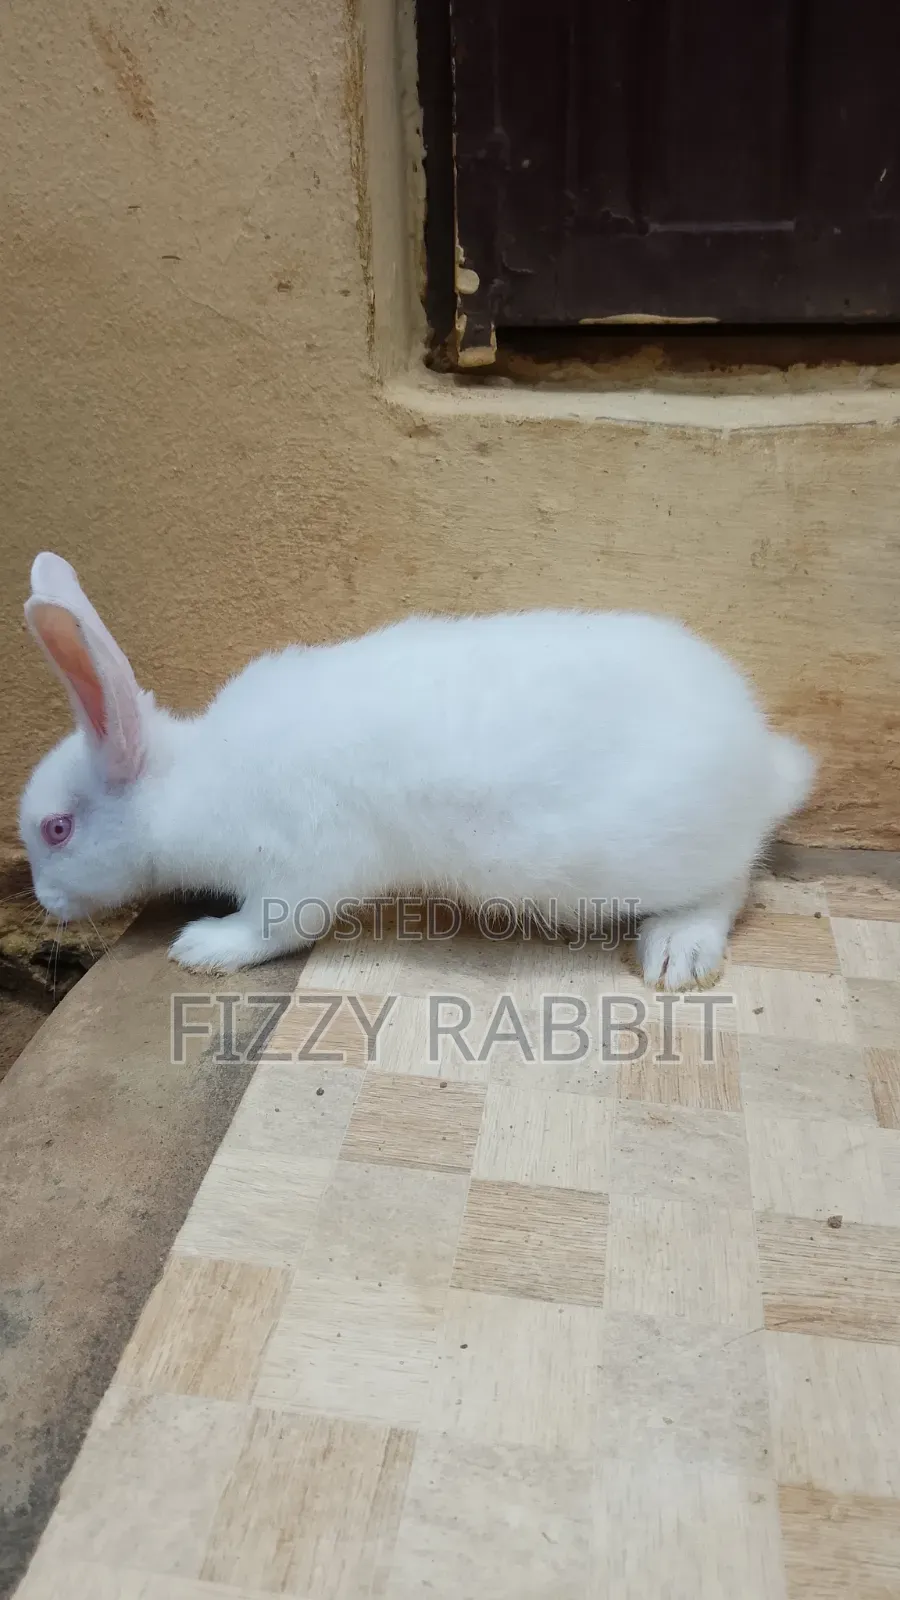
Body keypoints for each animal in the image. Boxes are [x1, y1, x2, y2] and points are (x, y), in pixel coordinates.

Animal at [20, 550, 816, 987]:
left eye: (57, 828)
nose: (46, 902)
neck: (189, 785)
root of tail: (761, 759)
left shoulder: (302, 866)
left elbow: (276, 927)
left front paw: (203, 947)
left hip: (662, 856)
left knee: (732, 884)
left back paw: (677, 950)